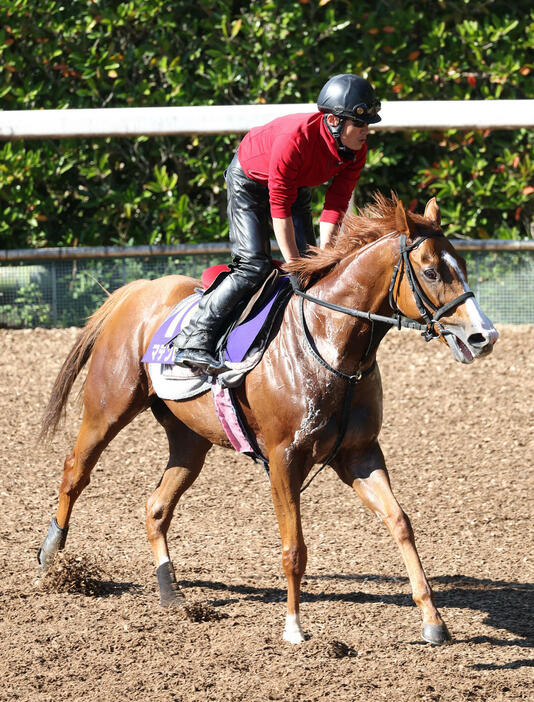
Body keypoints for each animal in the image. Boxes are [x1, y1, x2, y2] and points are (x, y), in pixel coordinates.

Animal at [37, 197, 498, 648]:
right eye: (432, 271)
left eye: (462, 264)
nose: (484, 336)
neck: (330, 345)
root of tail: (138, 291)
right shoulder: (284, 460)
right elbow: (294, 548)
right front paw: (294, 627)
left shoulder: (359, 455)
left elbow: (400, 523)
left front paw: (433, 620)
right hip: (108, 408)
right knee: (75, 471)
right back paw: (51, 556)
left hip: (190, 440)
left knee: (156, 507)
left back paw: (171, 591)